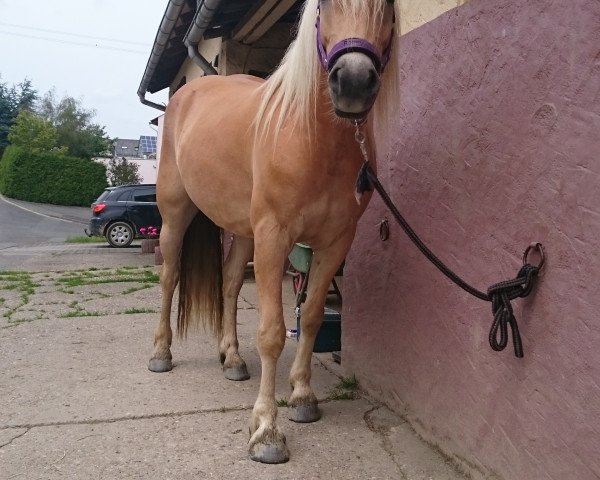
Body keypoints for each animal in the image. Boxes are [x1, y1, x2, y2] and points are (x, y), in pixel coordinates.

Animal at [147, 0, 398, 464]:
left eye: (389, 7)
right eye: (326, 6)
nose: (353, 82)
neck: (314, 141)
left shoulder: (336, 243)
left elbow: (312, 317)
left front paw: (302, 396)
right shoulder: (273, 237)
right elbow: (272, 333)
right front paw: (266, 430)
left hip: (243, 231)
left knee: (229, 284)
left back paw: (232, 359)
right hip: (176, 217)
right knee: (169, 278)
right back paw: (161, 353)